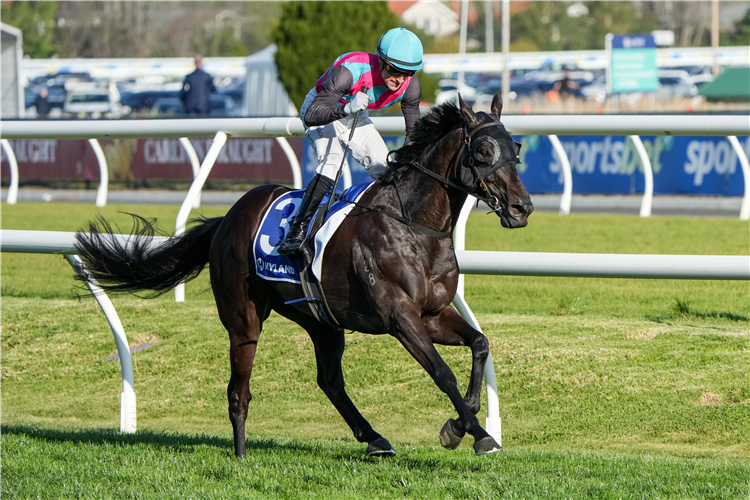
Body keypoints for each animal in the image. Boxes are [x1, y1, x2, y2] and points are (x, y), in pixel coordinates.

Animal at [75, 92, 536, 458]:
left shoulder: (433, 313)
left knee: (329, 380)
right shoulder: (400, 316)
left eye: (515, 147)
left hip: (320, 318)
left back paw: (374, 438)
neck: (414, 224)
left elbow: (480, 343)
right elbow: (443, 372)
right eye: (483, 152)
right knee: (238, 389)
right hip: (243, 319)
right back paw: (240, 454)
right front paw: (475, 433)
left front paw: (462, 425)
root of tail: (228, 218)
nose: (522, 208)